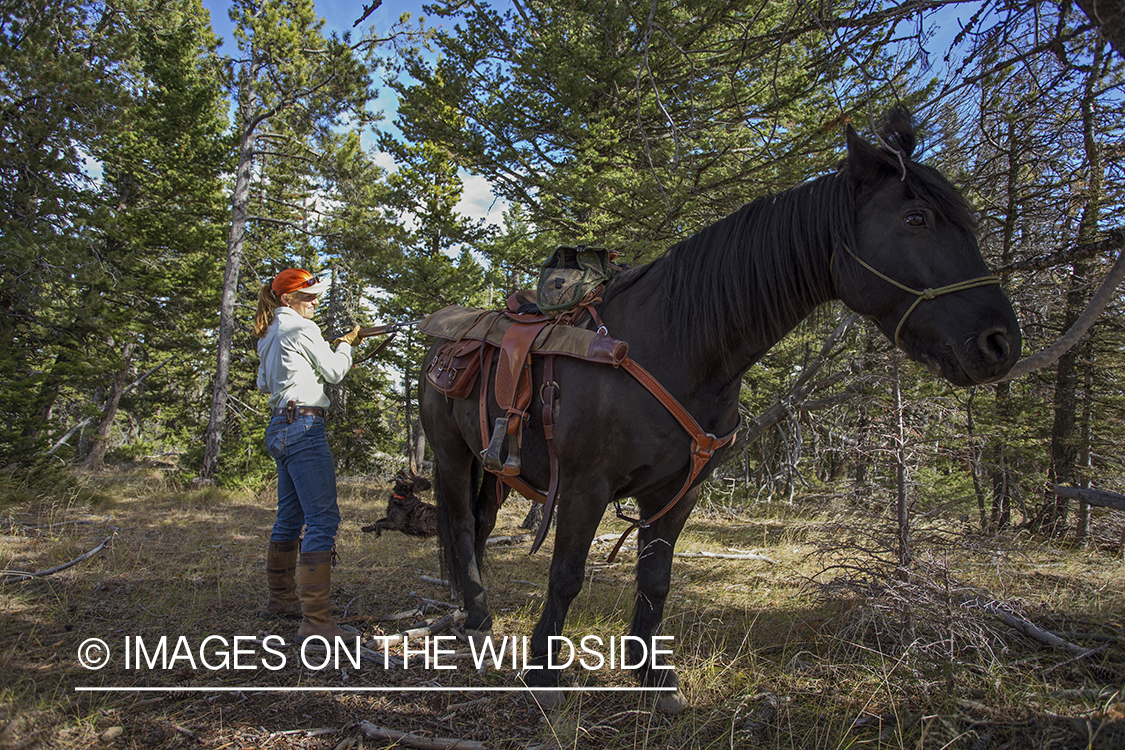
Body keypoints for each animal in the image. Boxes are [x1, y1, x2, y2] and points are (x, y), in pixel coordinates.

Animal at [420, 115, 1021, 710]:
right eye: (916, 218)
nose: (1000, 342)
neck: (678, 345)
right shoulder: (585, 485)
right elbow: (566, 574)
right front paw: (544, 674)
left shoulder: (678, 492)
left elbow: (655, 580)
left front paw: (654, 677)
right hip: (450, 454)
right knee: (461, 524)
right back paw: (476, 619)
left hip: (496, 467)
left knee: (480, 522)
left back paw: (475, 609)